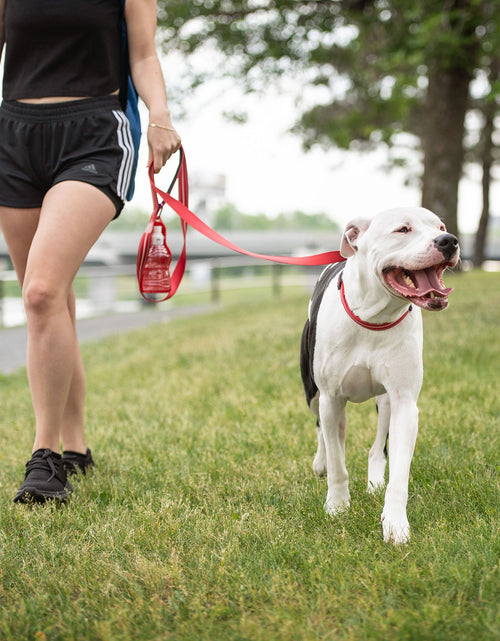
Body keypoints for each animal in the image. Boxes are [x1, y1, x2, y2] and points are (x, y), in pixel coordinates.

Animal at [300, 208, 460, 544]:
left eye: (441, 226)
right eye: (403, 229)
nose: (449, 240)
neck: (374, 315)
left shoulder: (404, 402)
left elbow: (399, 470)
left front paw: (396, 524)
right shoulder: (331, 397)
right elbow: (337, 461)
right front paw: (337, 505)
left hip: (385, 401)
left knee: (377, 446)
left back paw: (374, 482)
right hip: (313, 393)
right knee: (324, 428)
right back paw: (321, 463)